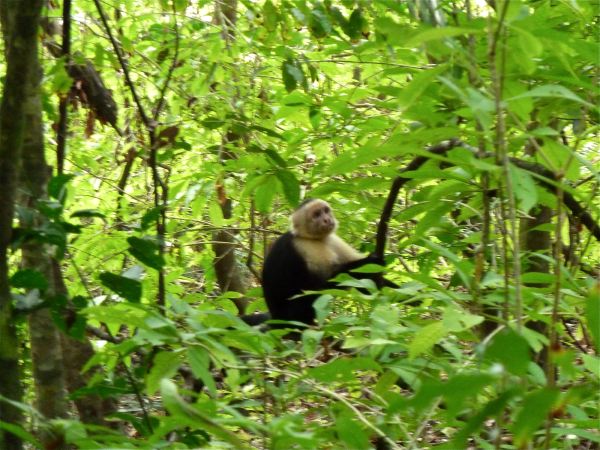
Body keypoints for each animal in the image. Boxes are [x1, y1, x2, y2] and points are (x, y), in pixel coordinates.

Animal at [241, 200, 392, 326]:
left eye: (325, 211)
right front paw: (371, 260)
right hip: (290, 316)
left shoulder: (332, 240)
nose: (327, 219)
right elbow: (325, 284)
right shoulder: (307, 248)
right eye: (316, 215)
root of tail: (276, 318)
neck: (311, 238)